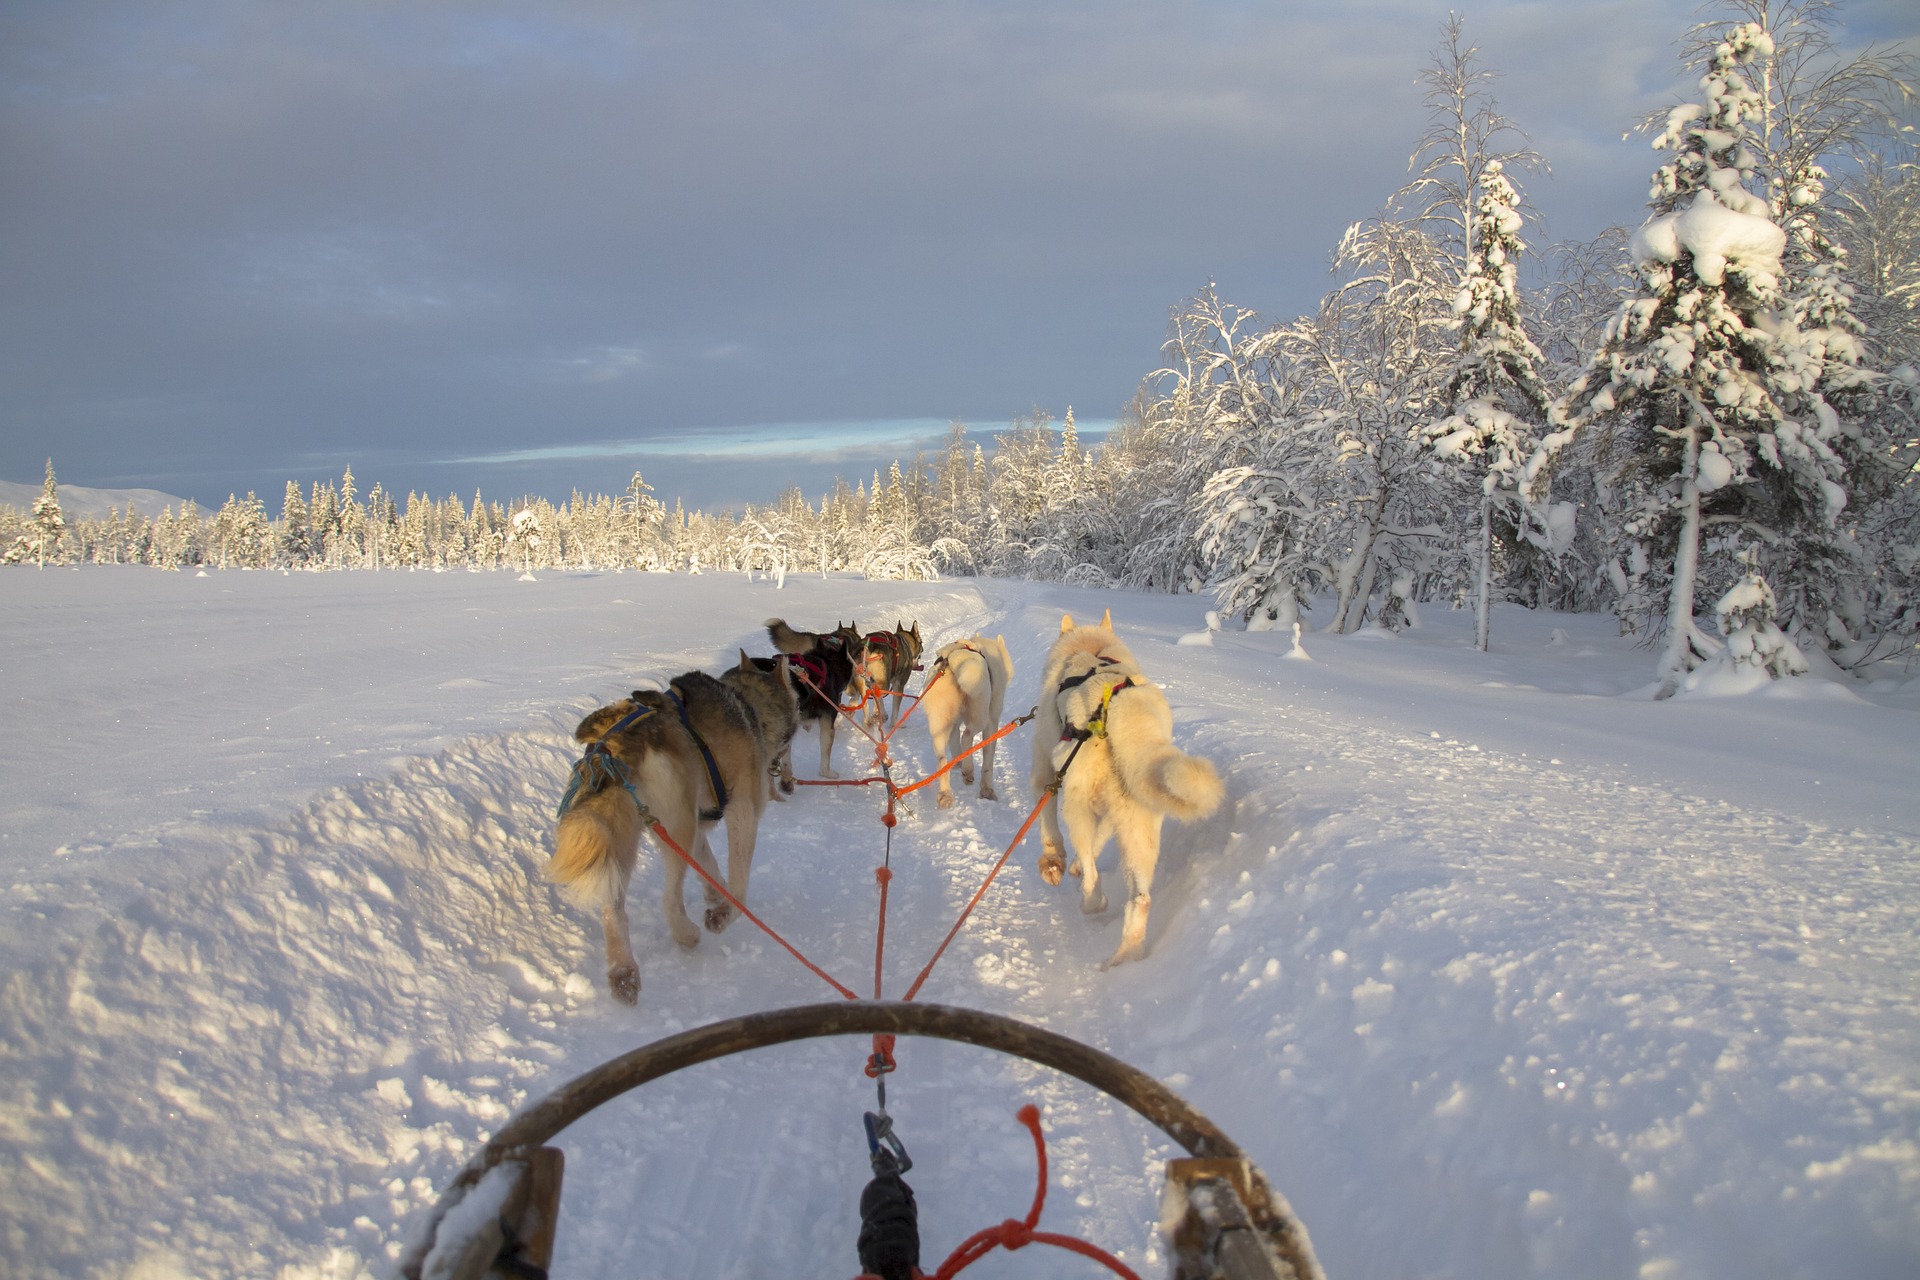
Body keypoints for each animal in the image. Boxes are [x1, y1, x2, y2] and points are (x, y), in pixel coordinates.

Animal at [549, 671, 771, 1013]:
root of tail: (613, 747)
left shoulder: (698, 832)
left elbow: (711, 869)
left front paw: (715, 894)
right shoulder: (741, 810)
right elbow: (737, 890)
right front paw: (722, 913)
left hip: (622, 835)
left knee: (613, 909)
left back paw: (623, 973)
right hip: (677, 824)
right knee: (670, 900)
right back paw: (686, 934)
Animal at [917, 637, 1013, 809]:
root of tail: (953, 659)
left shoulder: (954, 724)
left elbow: (955, 745)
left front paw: (958, 763)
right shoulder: (991, 723)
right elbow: (988, 764)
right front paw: (987, 791)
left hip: (939, 724)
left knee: (942, 760)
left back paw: (945, 795)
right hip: (980, 716)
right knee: (967, 736)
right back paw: (968, 771)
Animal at [1029, 614, 1221, 967]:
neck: (1092, 649)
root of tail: (1122, 706)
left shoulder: (1045, 774)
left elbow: (1051, 830)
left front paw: (1055, 863)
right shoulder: (1110, 813)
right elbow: (1099, 838)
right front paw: (1072, 865)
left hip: (1077, 804)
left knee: (1093, 873)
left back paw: (1093, 901)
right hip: (1139, 827)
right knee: (1141, 898)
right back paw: (1125, 954)